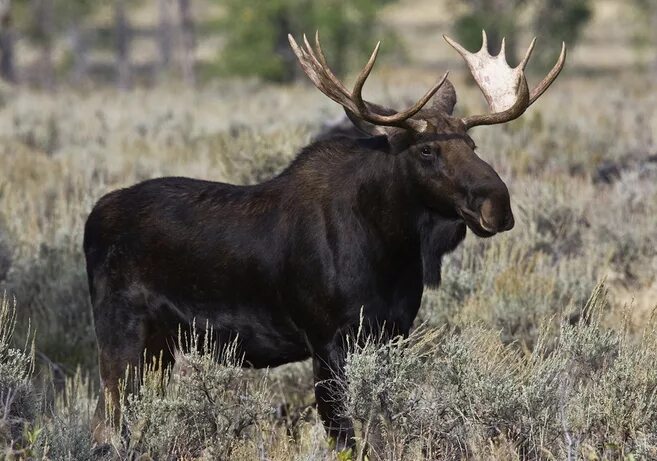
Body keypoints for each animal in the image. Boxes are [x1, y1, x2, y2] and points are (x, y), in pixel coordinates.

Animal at [82, 32, 564, 450]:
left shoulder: (392, 333)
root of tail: (92, 219)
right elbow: (344, 435)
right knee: (106, 421)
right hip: (120, 333)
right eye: (427, 150)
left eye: (473, 143)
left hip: (161, 345)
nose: (497, 204)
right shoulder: (328, 339)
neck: (389, 249)